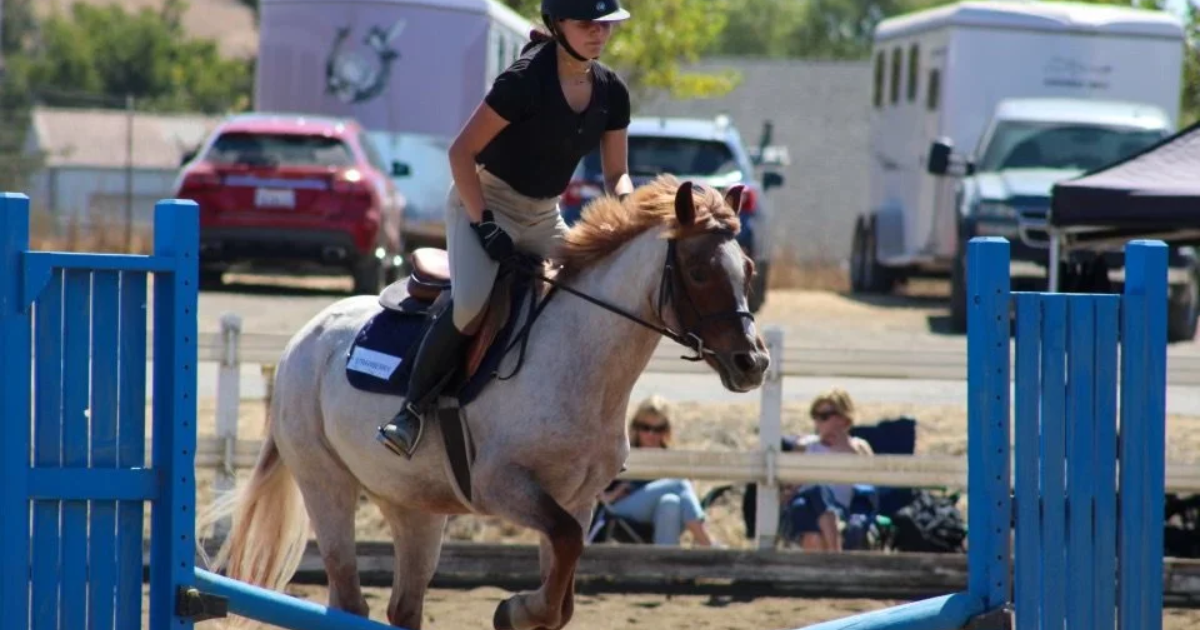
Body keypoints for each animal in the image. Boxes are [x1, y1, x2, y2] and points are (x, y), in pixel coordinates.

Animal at [196, 175, 772, 630]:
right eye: (698, 271)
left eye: (747, 268)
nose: (753, 363)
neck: (581, 360)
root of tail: (305, 335)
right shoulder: (504, 486)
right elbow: (565, 546)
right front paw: (513, 610)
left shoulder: (579, 498)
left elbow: (564, 587)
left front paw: (522, 610)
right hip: (327, 483)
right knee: (349, 601)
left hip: (414, 505)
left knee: (403, 607)